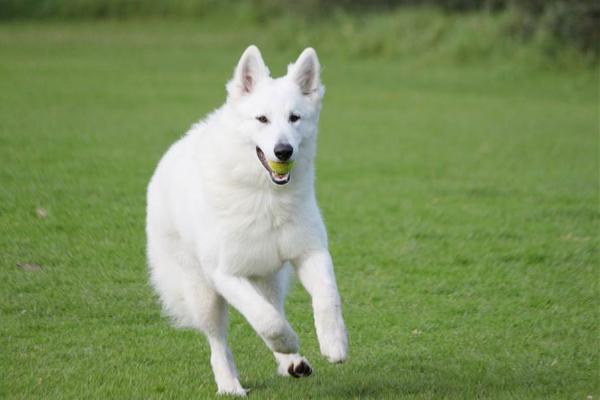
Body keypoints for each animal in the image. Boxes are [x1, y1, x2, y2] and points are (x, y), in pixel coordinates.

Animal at [146, 45, 350, 396]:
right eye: (262, 119)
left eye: (295, 118)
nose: (283, 151)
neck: (266, 197)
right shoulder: (226, 275)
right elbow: (267, 321)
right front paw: (289, 340)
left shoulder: (311, 253)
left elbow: (327, 298)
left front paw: (334, 343)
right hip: (204, 293)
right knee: (218, 340)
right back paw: (229, 383)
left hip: (270, 277)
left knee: (274, 305)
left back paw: (291, 362)